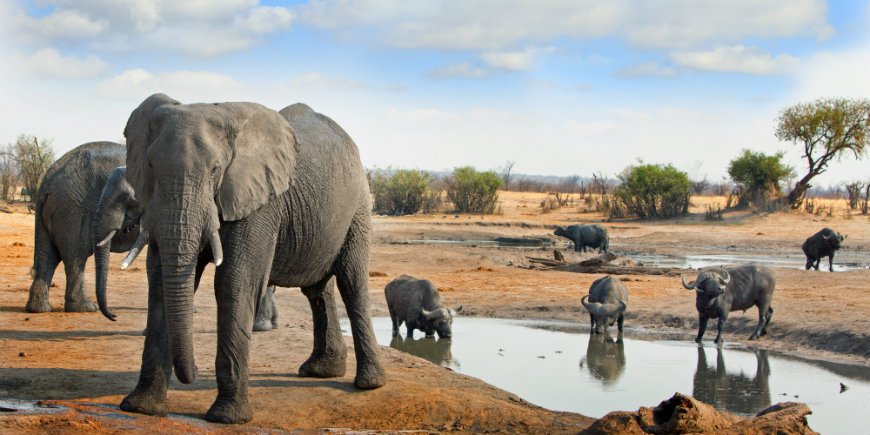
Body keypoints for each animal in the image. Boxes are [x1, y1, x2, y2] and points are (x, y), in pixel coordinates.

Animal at [26, 142, 142, 314]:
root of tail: (48, 179)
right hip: (72, 209)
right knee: (76, 258)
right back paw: (85, 308)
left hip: (49, 213)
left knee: (47, 256)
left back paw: (39, 309)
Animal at [118, 94, 385, 424]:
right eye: (151, 165)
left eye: (216, 169)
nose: (192, 374)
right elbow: (159, 282)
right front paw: (140, 408)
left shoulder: (259, 200)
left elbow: (235, 281)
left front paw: (226, 418)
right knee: (317, 290)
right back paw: (321, 371)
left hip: (359, 205)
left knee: (352, 282)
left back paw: (369, 384)